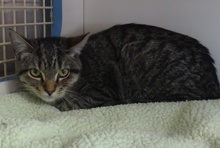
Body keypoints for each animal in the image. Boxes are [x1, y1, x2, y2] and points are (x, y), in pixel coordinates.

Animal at [8, 23, 220, 110]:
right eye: (35, 72)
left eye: (63, 72)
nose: (50, 90)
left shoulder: (102, 93)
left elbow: (66, 105)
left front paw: (60, 102)